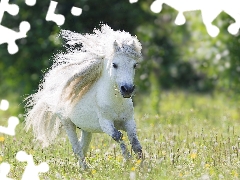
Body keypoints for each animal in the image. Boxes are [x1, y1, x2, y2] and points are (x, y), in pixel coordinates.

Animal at [24, 24, 143, 169]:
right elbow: (118, 136)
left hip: (86, 129)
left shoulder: (129, 121)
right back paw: (85, 169)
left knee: (82, 147)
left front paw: (142, 166)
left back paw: (82, 168)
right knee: (77, 148)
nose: (127, 89)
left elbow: (136, 143)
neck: (116, 103)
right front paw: (128, 161)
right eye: (114, 64)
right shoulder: (105, 123)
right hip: (68, 124)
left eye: (134, 65)